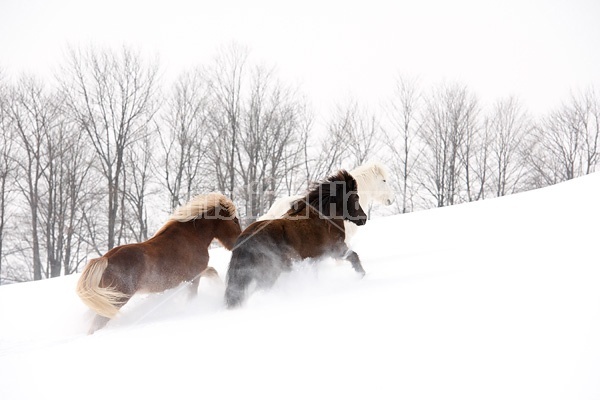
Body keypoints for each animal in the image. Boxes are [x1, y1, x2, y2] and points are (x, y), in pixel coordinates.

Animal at [77, 192, 241, 332]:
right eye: (234, 220)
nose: (239, 241)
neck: (192, 236)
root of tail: (105, 259)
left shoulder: (197, 273)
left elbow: (213, 272)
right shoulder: (193, 278)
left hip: (105, 298)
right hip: (116, 300)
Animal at [225, 170, 366, 308]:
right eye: (356, 197)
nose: (363, 218)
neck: (324, 219)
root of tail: (247, 238)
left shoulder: (314, 259)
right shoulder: (336, 249)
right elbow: (354, 256)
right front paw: (362, 275)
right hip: (269, 273)